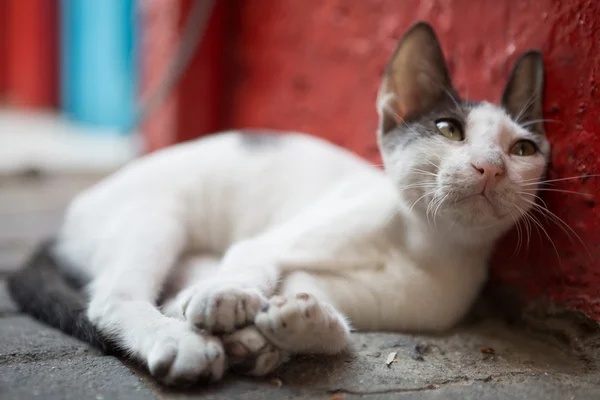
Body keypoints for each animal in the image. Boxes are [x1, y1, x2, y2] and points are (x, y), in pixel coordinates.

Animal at [7, 21, 552, 384]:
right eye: (449, 130)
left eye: (523, 150)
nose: (491, 167)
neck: (421, 242)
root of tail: (66, 222)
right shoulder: (284, 237)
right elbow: (253, 255)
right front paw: (228, 297)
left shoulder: (393, 299)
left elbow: (323, 311)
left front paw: (295, 328)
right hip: (155, 216)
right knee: (113, 300)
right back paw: (180, 340)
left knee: (167, 292)